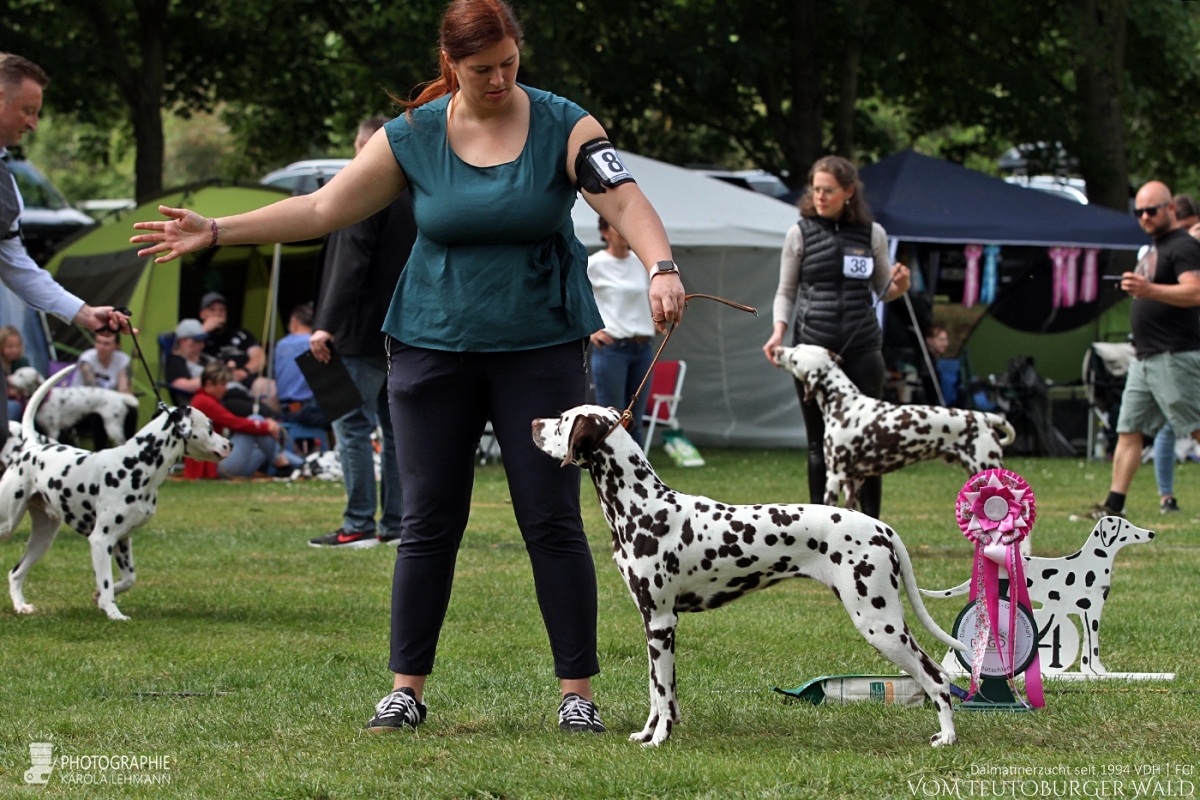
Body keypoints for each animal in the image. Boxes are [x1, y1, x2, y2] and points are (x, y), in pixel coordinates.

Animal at [8, 367, 139, 448]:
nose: (8, 378)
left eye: (20, 375)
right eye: (16, 372)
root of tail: (119, 396)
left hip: (113, 427)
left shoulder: (53, 431)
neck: (46, 399)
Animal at [772, 345, 1017, 513]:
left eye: (794, 357)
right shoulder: (854, 480)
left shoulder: (835, 476)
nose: (776, 349)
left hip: (987, 468)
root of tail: (984, 417)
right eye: (797, 347)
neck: (845, 404)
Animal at [916, 520, 1152, 676]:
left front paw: (1092, 670)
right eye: (1127, 526)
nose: (1151, 533)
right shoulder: (1093, 611)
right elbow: (1093, 645)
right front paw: (1098, 670)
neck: (1092, 562)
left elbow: (1088, 646)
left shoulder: (1086, 612)